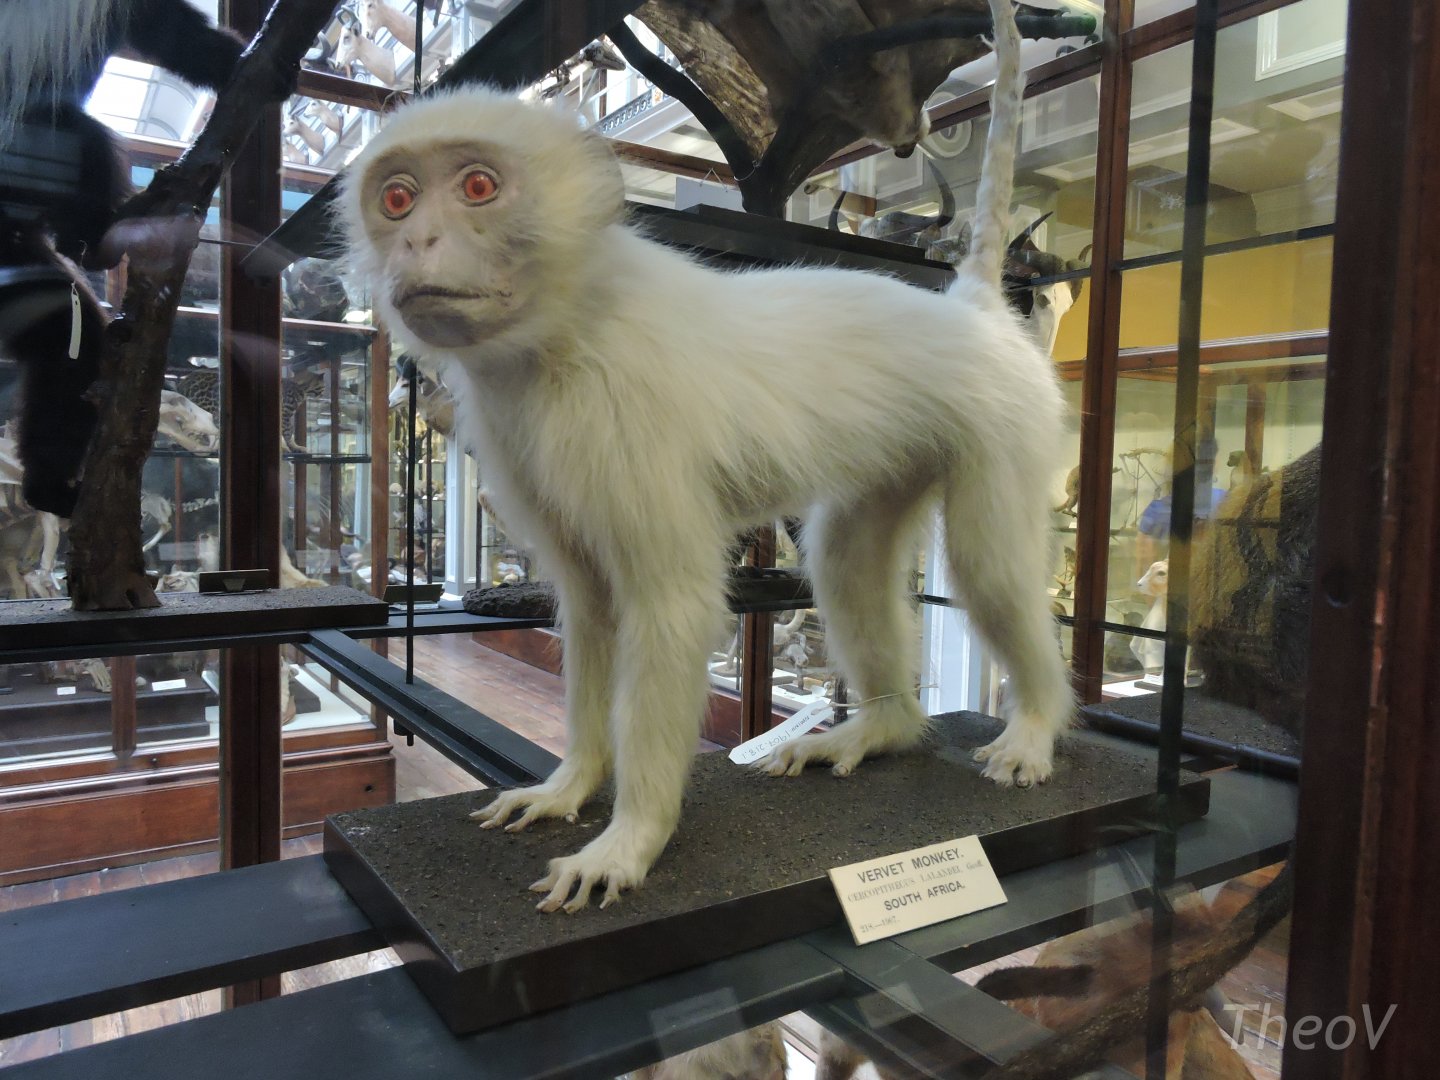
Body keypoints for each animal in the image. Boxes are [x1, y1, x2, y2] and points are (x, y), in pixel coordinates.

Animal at [338, 0, 1069, 913]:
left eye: (477, 187)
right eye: (397, 200)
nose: (419, 244)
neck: (570, 327)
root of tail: (973, 311)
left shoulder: (625, 416)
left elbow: (673, 607)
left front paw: (631, 841)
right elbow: (590, 606)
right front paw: (572, 785)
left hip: (1010, 415)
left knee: (990, 563)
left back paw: (1035, 726)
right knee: (845, 562)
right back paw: (881, 728)